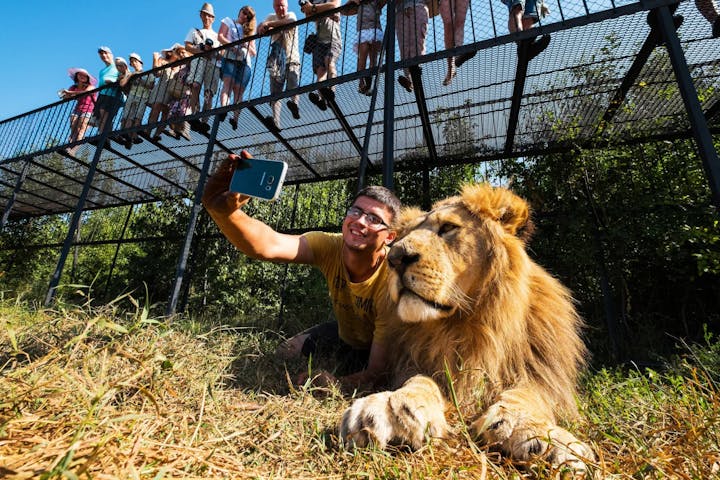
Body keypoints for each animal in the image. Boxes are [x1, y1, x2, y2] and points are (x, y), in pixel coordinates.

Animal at [342, 183, 596, 472]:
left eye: (448, 227)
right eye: (404, 235)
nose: (394, 258)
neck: (465, 324)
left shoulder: (543, 372)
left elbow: (529, 394)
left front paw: (534, 432)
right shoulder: (416, 361)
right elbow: (418, 381)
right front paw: (390, 408)